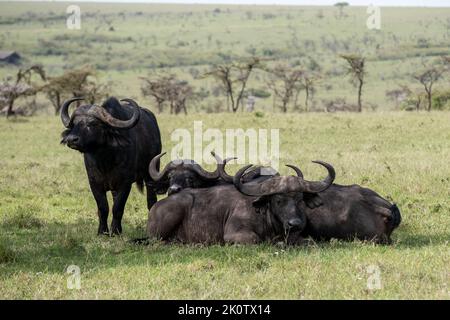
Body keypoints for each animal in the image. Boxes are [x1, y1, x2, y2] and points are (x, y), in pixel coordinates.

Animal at [61, 96, 162, 234]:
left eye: (93, 123)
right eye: (74, 123)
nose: (71, 139)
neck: (105, 161)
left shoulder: (125, 184)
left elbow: (118, 208)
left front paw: (115, 231)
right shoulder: (94, 184)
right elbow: (103, 208)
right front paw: (102, 231)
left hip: (151, 174)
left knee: (151, 200)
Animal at [148, 162, 334, 245]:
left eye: (300, 199)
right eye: (278, 199)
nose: (295, 223)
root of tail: (156, 208)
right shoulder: (235, 234)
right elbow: (256, 239)